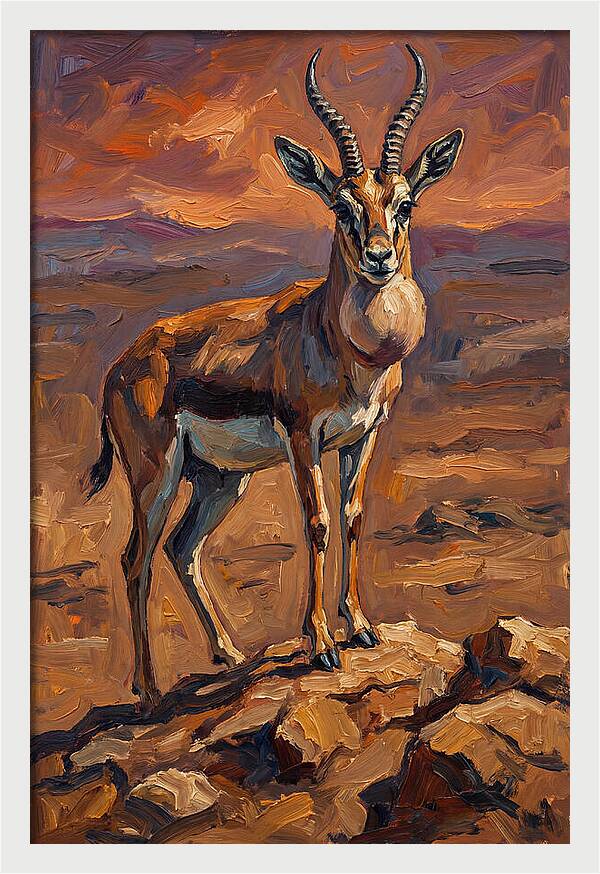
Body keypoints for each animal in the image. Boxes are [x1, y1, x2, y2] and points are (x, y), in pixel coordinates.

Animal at [85, 45, 463, 710]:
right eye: (342, 205)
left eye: (405, 203)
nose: (379, 258)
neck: (341, 345)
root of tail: (120, 365)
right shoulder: (302, 437)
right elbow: (315, 523)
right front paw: (322, 645)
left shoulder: (364, 435)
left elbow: (352, 515)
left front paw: (360, 627)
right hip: (157, 474)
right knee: (136, 558)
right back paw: (150, 691)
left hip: (218, 480)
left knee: (183, 547)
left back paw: (231, 655)